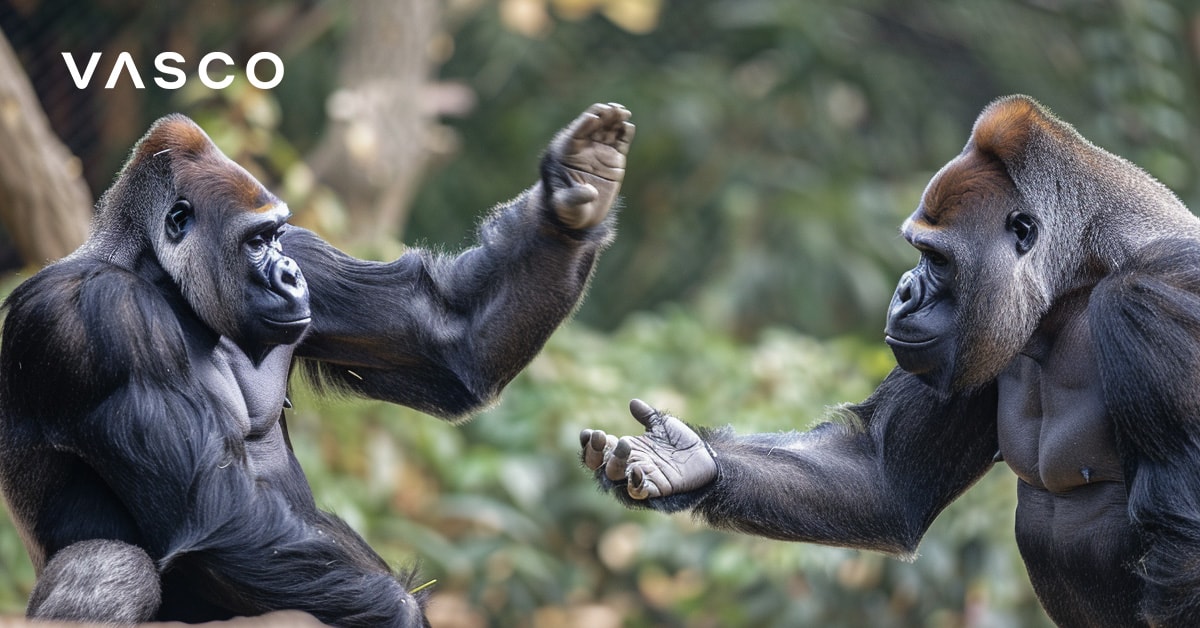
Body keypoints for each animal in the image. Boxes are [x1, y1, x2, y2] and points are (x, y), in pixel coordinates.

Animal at [0, 100, 633, 624]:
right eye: (255, 241)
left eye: (278, 235)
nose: (288, 275)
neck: (157, 276)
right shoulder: (95, 315)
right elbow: (216, 511)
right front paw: (402, 613)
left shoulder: (309, 257)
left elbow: (454, 338)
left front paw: (577, 189)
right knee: (113, 566)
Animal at [585, 94, 1200, 628]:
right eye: (917, 251)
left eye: (937, 259)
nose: (904, 291)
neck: (1076, 277)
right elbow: (885, 482)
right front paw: (682, 458)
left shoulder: (1153, 301)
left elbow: (1184, 555)